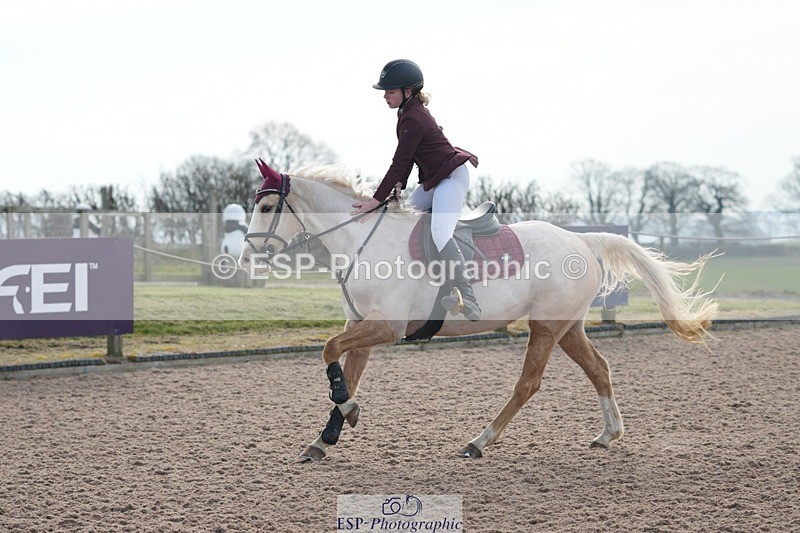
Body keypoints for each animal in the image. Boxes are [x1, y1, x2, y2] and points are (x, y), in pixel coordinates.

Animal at [238, 161, 718, 461]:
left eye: (267, 207)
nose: (246, 260)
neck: (361, 242)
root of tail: (581, 239)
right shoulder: (361, 325)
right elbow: (343, 369)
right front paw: (326, 437)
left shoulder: (386, 328)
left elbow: (327, 351)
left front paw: (347, 415)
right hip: (567, 327)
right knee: (598, 368)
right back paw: (608, 434)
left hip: (546, 328)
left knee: (528, 384)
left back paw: (479, 442)